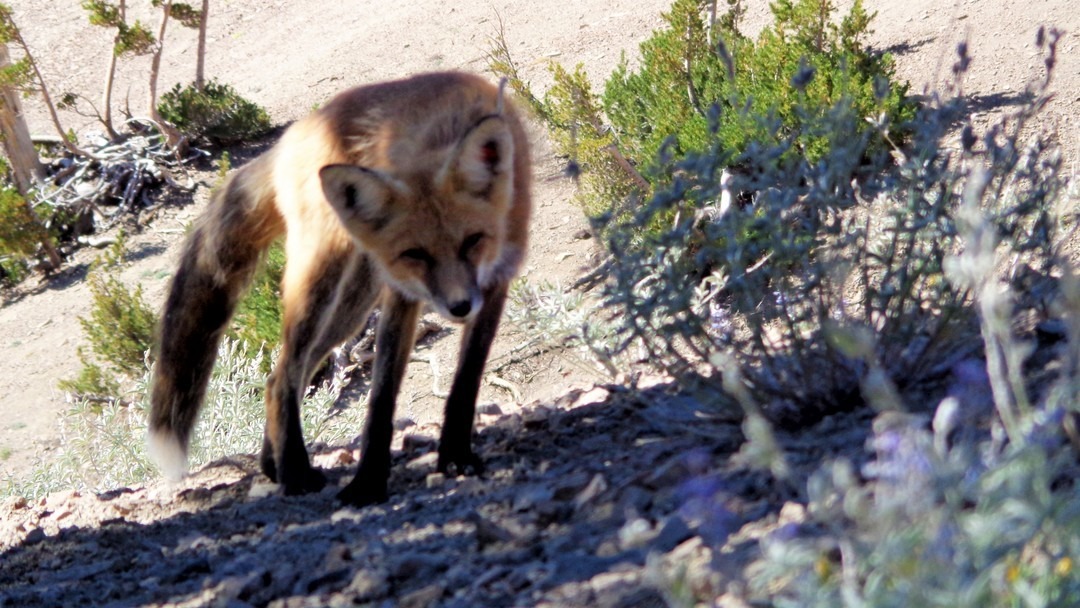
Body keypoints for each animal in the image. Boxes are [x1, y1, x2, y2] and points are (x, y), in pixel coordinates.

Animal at [147, 71, 531, 507]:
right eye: (415, 254)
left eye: (472, 241)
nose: (459, 307)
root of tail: (295, 132)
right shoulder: (402, 295)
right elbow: (381, 399)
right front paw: (368, 483)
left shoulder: (495, 280)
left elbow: (466, 380)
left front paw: (455, 456)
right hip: (321, 280)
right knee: (284, 375)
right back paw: (294, 472)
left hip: (352, 308)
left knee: (287, 373)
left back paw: (272, 462)